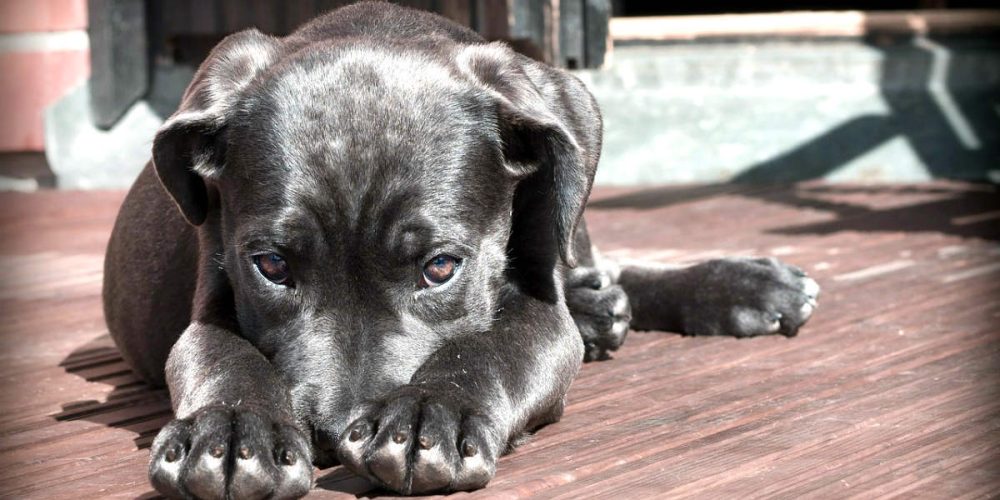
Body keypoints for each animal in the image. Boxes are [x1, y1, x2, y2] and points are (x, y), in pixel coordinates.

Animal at [103, 1, 820, 498]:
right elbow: (221, 355)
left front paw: (430, 414)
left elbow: (492, 348)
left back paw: (739, 286)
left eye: (441, 267)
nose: (333, 434)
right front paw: (230, 430)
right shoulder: (212, 293)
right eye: (272, 266)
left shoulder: (539, 311)